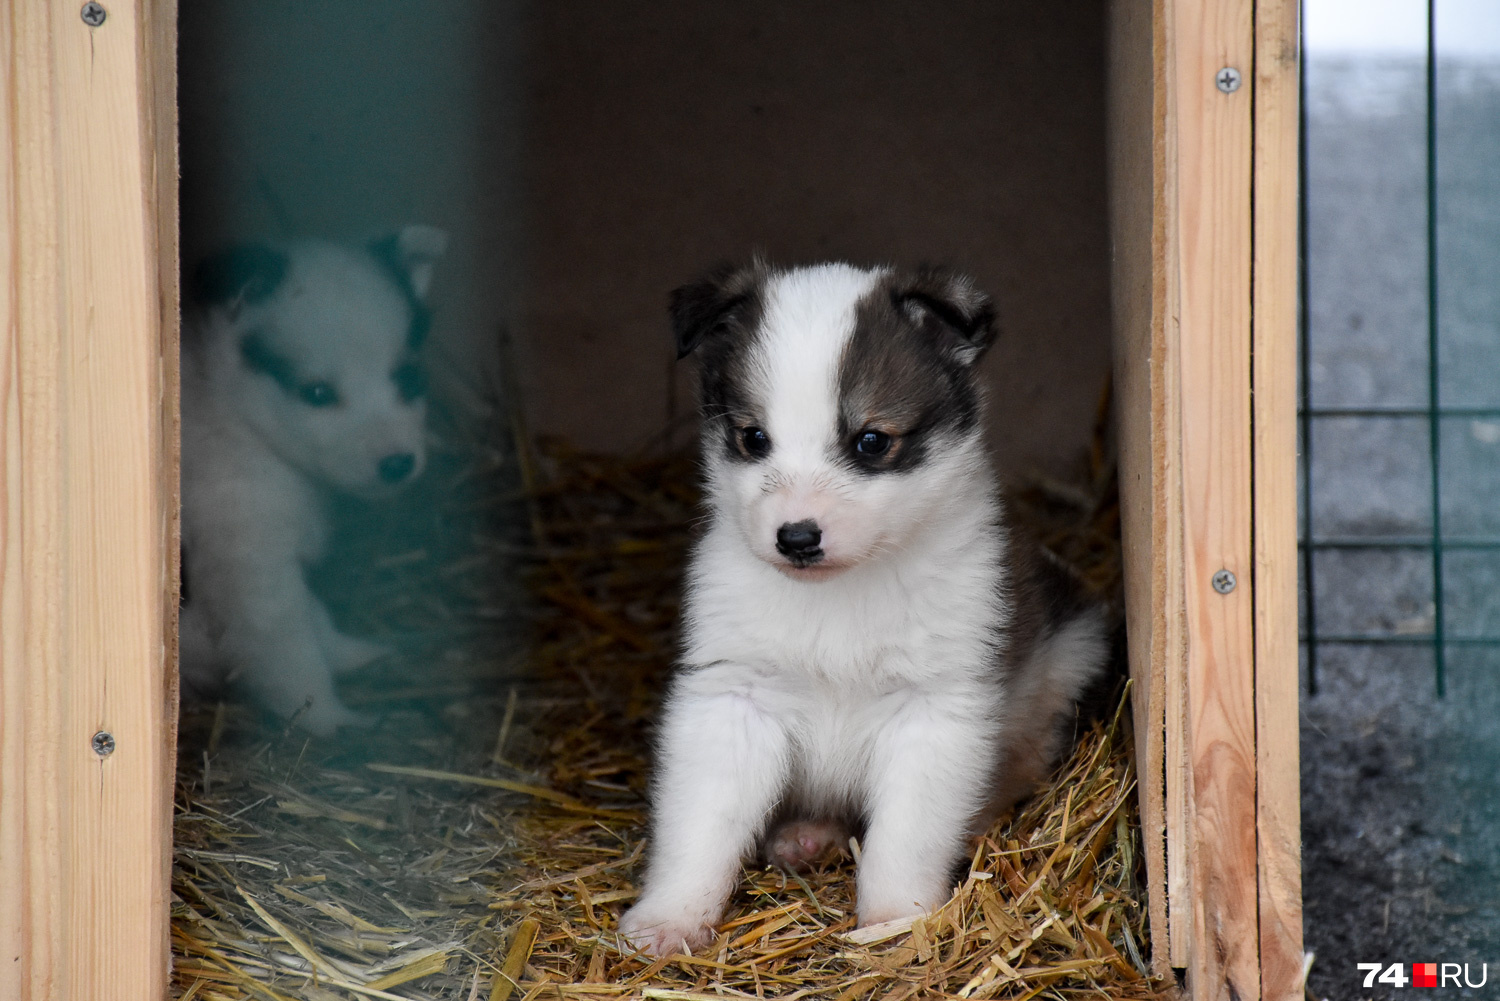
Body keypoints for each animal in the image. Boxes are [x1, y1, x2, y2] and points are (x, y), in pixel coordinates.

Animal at [180, 231, 444, 741]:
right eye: (317, 393)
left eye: (407, 377)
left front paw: (354, 653)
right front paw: (332, 719)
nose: (398, 463)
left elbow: (315, 616)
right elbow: (292, 657)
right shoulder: (252, 580)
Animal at [621, 258, 1116, 954]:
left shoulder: (932, 712)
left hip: (1070, 658)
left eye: (872, 441)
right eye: (753, 438)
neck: (838, 597)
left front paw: (894, 922)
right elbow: (701, 822)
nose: (797, 537)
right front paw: (670, 918)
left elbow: (904, 836)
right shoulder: (734, 697)